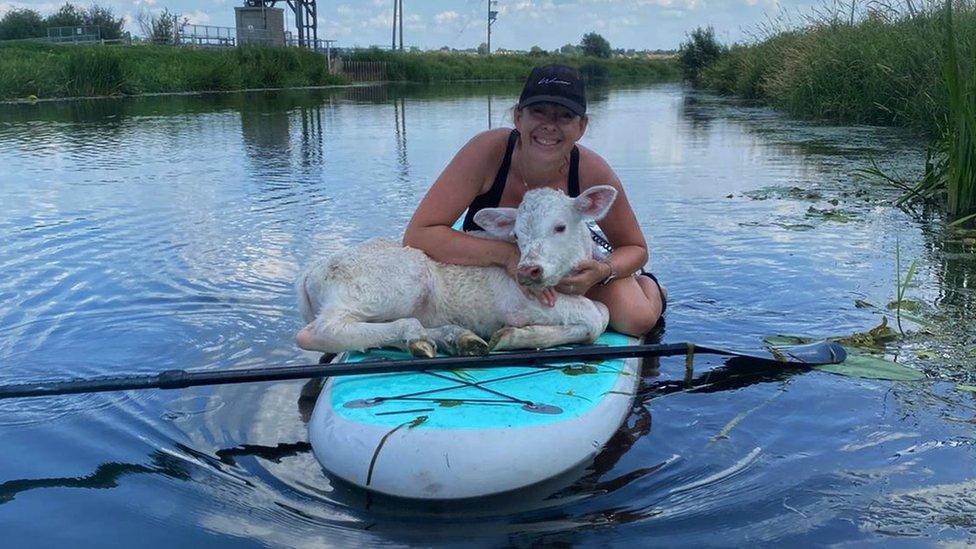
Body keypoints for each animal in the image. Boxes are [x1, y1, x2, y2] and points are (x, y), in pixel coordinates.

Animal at [296, 184, 616, 356]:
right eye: (517, 235)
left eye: (560, 227)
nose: (527, 271)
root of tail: (310, 273)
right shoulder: (520, 303)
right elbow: (598, 315)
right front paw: (516, 336)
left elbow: (601, 312)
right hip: (384, 288)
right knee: (320, 331)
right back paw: (416, 333)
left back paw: (454, 338)